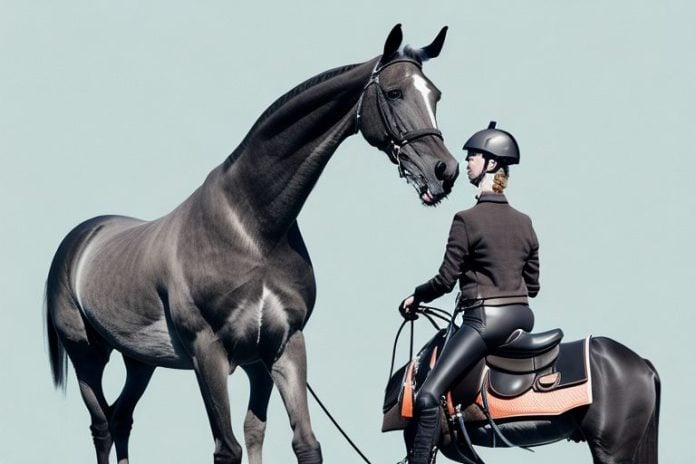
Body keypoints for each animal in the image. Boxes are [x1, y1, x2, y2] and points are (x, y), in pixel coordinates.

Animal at [44, 24, 459, 464]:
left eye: (435, 95)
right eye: (394, 92)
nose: (443, 171)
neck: (252, 231)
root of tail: (80, 238)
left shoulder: (280, 348)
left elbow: (294, 440)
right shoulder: (207, 352)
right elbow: (228, 447)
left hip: (140, 360)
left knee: (122, 418)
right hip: (87, 355)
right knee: (102, 425)